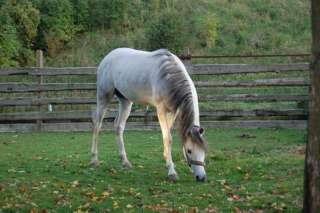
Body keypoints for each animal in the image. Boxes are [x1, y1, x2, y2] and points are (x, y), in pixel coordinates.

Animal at [90, 47, 208, 181]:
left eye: (204, 151)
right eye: (189, 151)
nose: (201, 177)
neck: (168, 75)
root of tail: (108, 57)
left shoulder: (173, 111)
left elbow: (167, 136)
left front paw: (167, 159)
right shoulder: (160, 110)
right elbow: (168, 138)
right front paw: (171, 172)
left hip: (125, 101)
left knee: (118, 127)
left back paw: (125, 162)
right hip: (104, 96)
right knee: (97, 125)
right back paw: (94, 160)